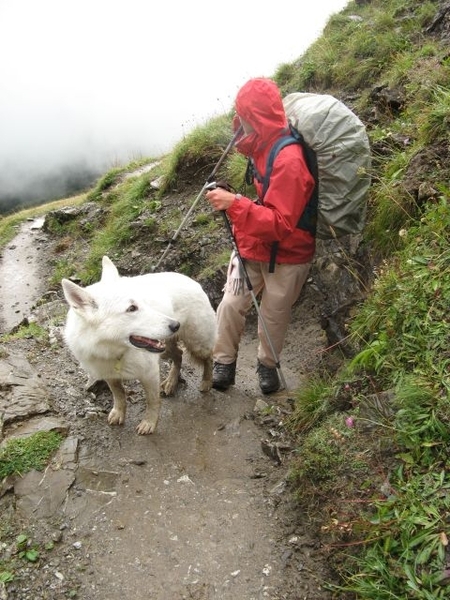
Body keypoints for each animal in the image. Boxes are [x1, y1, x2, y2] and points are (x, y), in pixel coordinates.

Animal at [61, 255, 216, 434]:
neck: (113, 351)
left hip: (197, 343)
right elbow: (119, 395)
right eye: (132, 308)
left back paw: (206, 381)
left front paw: (149, 423)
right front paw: (119, 412)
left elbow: (152, 401)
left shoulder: (149, 374)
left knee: (209, 358)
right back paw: (172, 381)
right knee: (179, 355)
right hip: (164, 349)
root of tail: (191, 280)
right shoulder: (109, 376)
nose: (175, 325)